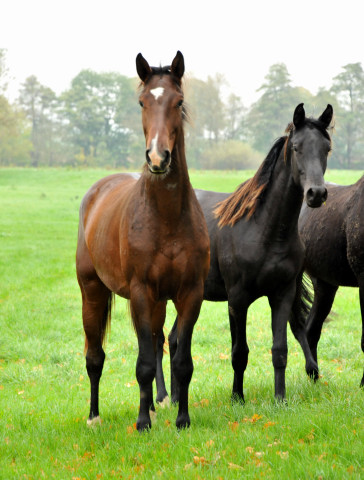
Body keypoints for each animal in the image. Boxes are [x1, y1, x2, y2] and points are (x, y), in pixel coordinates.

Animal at [75, 51, 209, 432]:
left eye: (179, 102)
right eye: (142, 102)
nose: (158, 158)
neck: (165, 217)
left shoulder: (189, 293)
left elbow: (181, 361)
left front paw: (182, 419)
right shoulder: (140, 291)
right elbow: (144, 364)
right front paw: (142, 423)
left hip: (159, 301)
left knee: (155, 342)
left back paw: (153, 404)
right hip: (93, 291)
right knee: (95, 355)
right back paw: (94, 416)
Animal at [156, 103, 332, 404]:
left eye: (327, 149)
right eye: (296, 147)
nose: (316, 193)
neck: (264, 230)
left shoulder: (282, 295)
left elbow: (279, 349)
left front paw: (280, 399)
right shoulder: (237, 300)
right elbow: (239, 352)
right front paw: (237, 397)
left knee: (175, 339)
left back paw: (178, 397)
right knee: (157, 342)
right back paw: (163, 397)